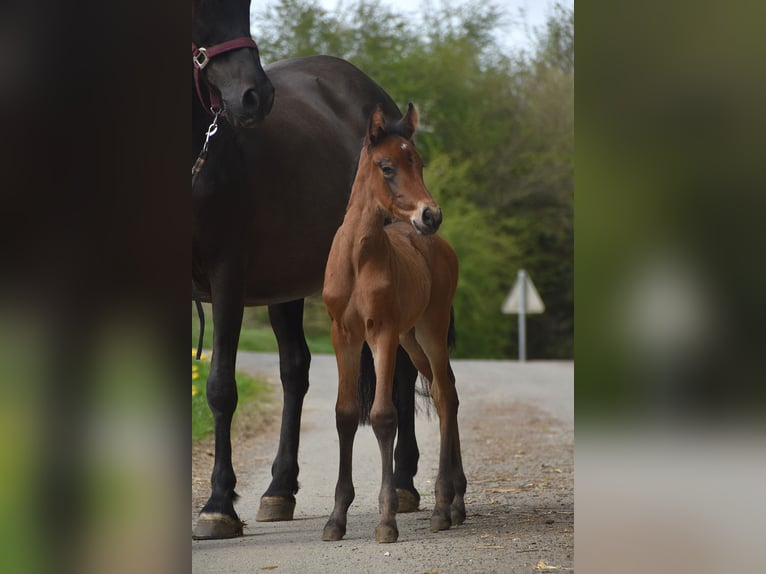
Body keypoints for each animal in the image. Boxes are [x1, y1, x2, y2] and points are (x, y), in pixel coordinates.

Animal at [192, 0, 423, 539]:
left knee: (401, 371)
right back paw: (279, 489)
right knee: (295, 371)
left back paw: (404, 483)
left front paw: (217, 505)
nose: (254, 97)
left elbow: (220, 387)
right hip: (285, 285)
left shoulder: (227, 278)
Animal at [321, 104, 466, 543]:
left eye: (418, 162)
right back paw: (456, 502)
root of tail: (441, 246)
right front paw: (336, 518)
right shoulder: (344, 335)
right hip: (412, 339)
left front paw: (387, 520)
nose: (431, 215)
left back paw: (443, 506)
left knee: (445, 396)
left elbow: (384, 416)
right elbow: (346, 414)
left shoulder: (380, 332)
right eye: (387, 167)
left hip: (430, 330)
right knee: (445, 389)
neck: (357, 259)